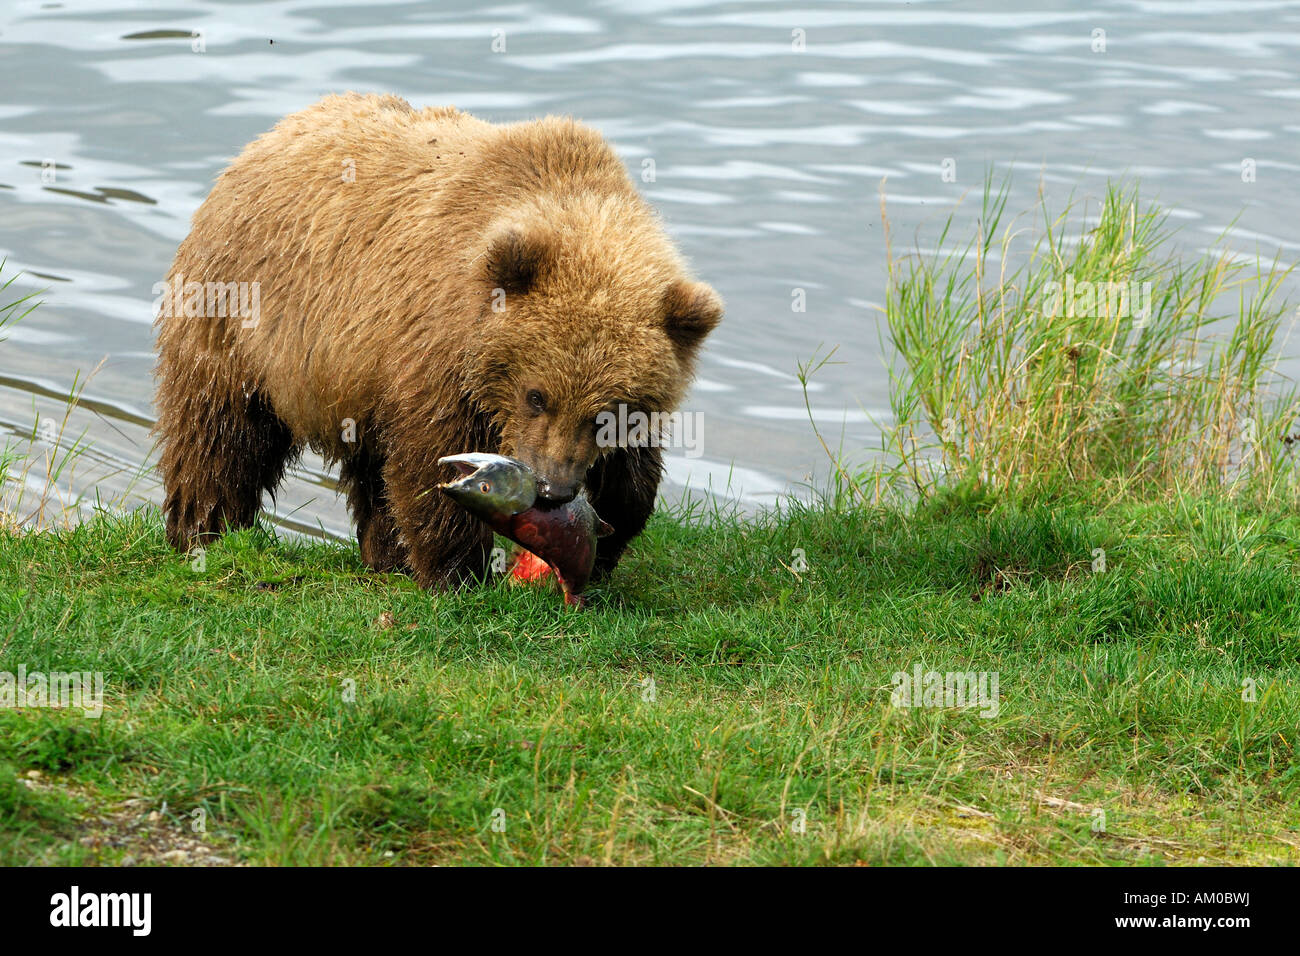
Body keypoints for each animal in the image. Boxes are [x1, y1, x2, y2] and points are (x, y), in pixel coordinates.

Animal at [154, 93, 722, 587]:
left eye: (609, 413)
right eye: (536, 395)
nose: (552, 489)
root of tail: (268, 136)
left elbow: (632, 478)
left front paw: (604, 541)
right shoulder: (435, 346)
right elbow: (433, 461)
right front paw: (457, 573)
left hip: (352, 377)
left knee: (369, 468)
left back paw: (383, 553)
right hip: (242, 316)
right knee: (219, 435)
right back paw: (203, 531)